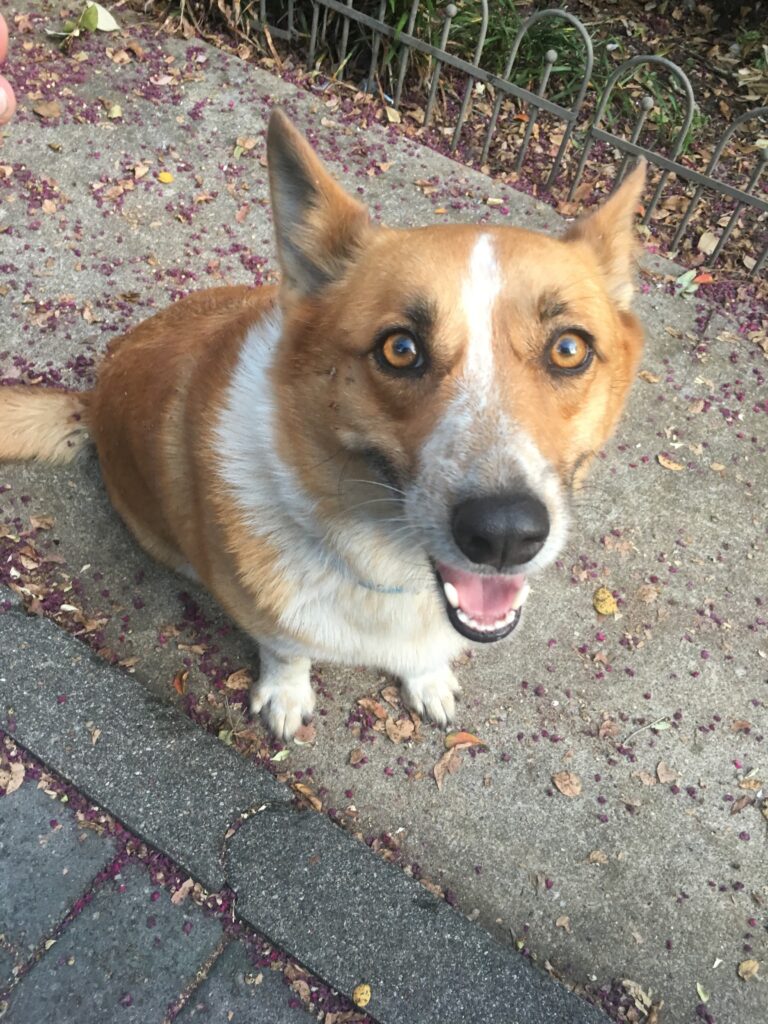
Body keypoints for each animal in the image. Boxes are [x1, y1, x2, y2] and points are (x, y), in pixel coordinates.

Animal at [0, 110, 645, 739]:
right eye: (400, 350)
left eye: (568, 349)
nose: (505, 534)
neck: (384, 556)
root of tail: (90, 397)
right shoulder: (264, 613)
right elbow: (286, 652)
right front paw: (287, 697)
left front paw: (427, 677)